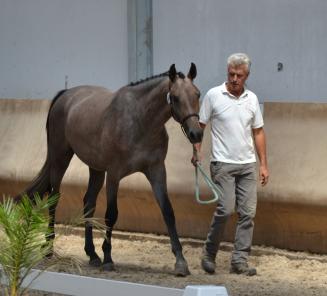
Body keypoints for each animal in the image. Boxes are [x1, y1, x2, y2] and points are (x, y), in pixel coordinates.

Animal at [18, 63, 204, 276]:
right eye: (175, 97)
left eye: (197, 94)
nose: (196, 133)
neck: (139, 121)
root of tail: (66, 95)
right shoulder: (114, 174)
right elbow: (111, 214)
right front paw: (108, 258)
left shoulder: (157, 171)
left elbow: (168, 212)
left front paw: (181, 261)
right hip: (60, 159)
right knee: (54, 199)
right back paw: (49, 248)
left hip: (96, 169)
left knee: (88, 203)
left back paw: (92, 254)